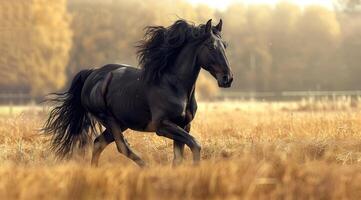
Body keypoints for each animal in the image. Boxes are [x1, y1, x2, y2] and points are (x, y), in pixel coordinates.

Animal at [43, 18, 233, 166]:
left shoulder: (184, 125)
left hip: (121, 122)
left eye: (225, 45)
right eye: (210, 46)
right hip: (109, 119)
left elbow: (178, 157)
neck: (174, 85)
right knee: (121, 147)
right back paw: (147, 168)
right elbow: (195, 144)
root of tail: (92, 73)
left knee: (98, 143)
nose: (227, 78)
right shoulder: (162, 125)